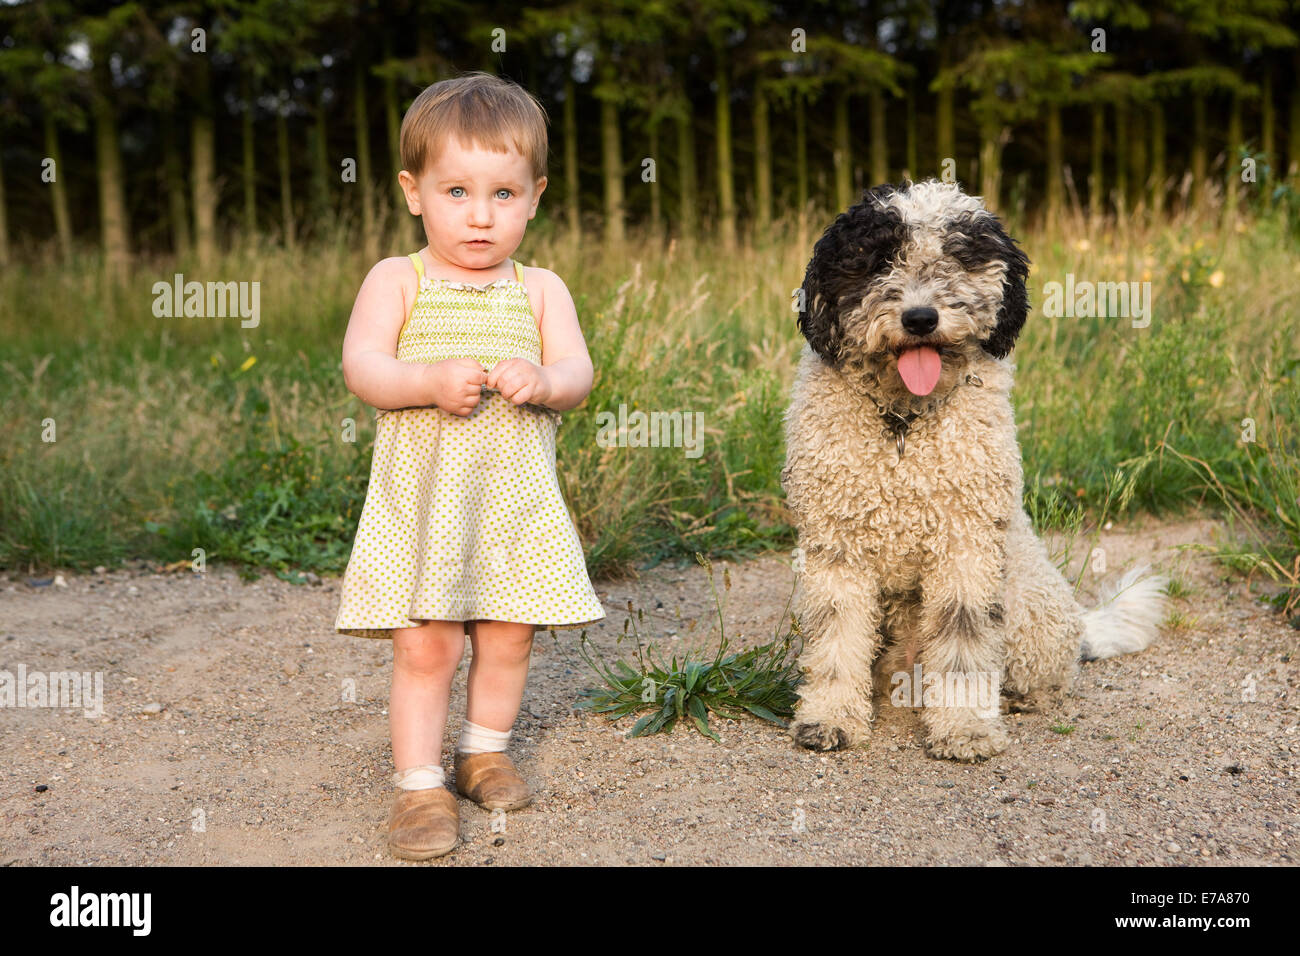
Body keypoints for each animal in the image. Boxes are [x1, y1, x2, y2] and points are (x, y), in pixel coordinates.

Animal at [780, 179, 1170, 764]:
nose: (920, 318)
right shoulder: (837, 547)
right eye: (876, 258)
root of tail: (1080, 628)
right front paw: (830, 718)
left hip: (1029, 609)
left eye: (960, 256)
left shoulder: (964, 547)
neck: (904, 426)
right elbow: (835, 642)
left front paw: (965, 727)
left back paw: (1014, 699)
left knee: (1043, 675)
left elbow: (963, 644)